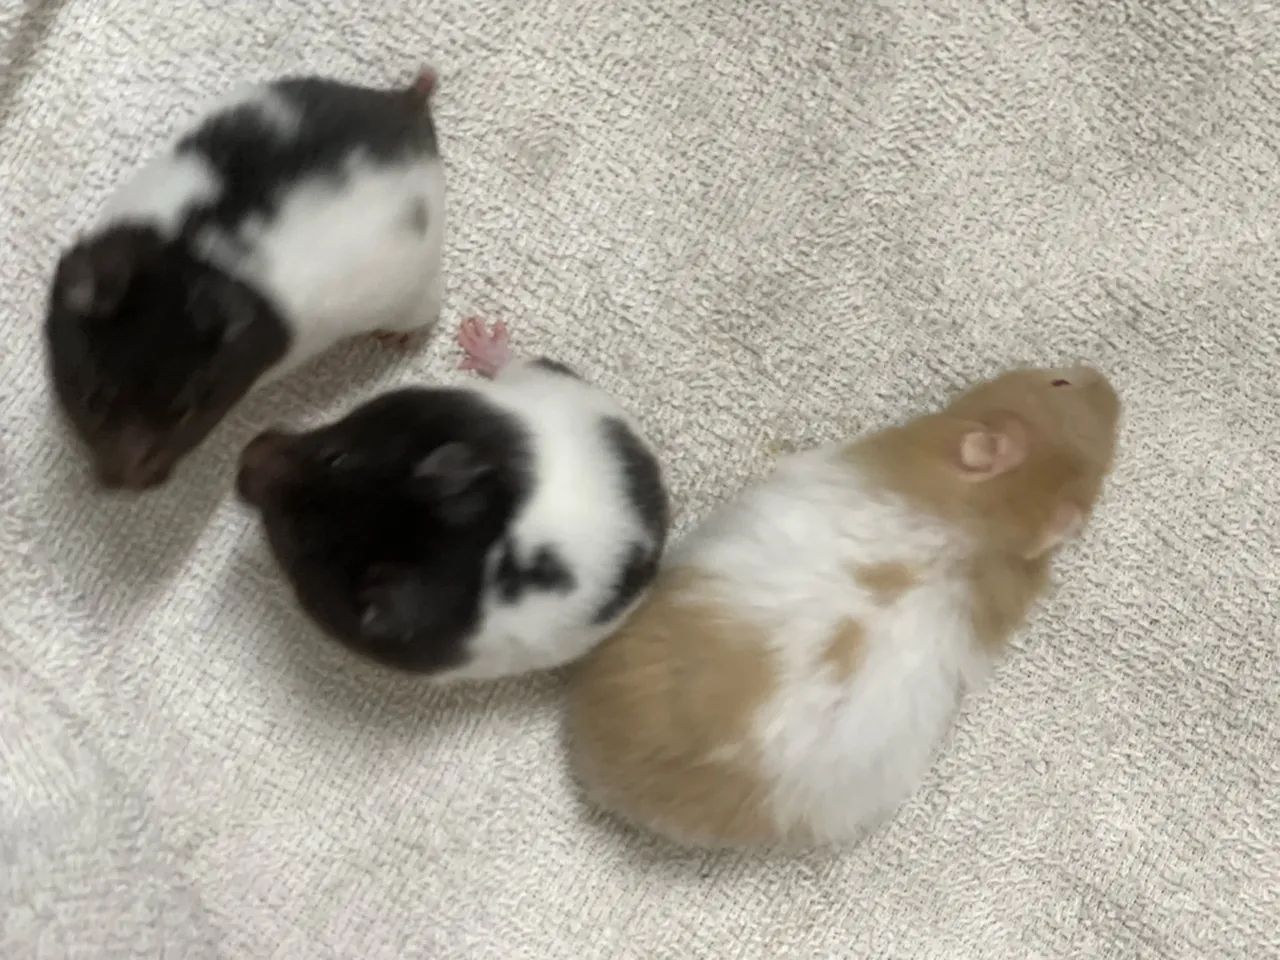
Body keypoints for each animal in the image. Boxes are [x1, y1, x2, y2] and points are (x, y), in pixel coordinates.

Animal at [44, 69, 445, 489]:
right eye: (94, 398)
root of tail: (407, 107)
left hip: (411, 292)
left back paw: (396, 337)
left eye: (185, 411)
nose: (121, 485)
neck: (191, 263)